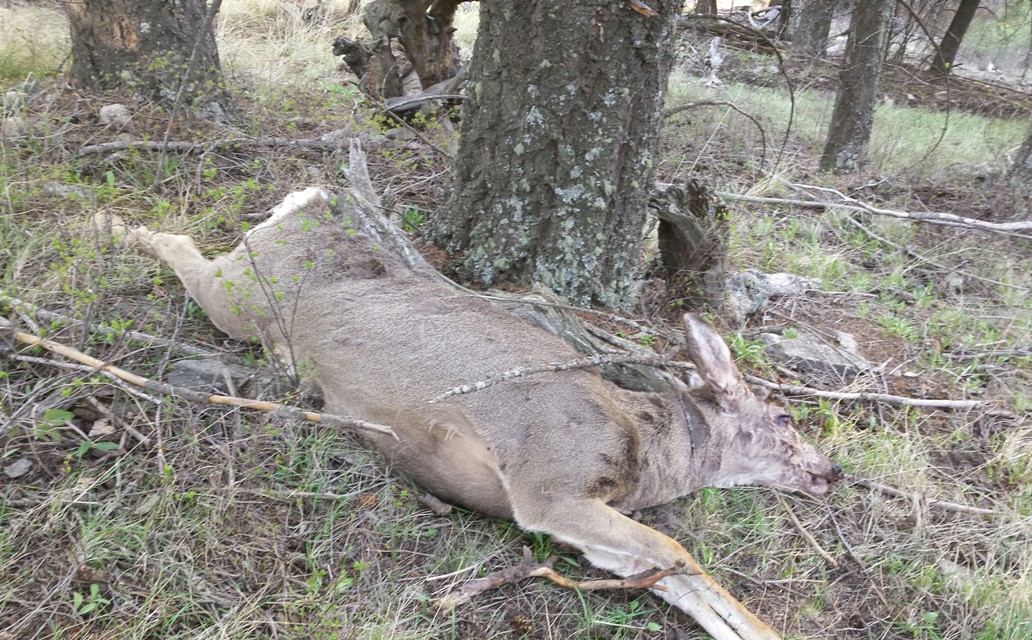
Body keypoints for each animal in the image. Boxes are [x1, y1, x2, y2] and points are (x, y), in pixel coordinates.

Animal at [94, 151, 837, 640]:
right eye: (783, 415)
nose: (831, 470)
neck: (649, 452)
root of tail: (315, 200)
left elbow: (683, 578)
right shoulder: (548, 481)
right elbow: (680, 552)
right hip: (242, 294)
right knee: (187, 246)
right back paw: (110, 223)